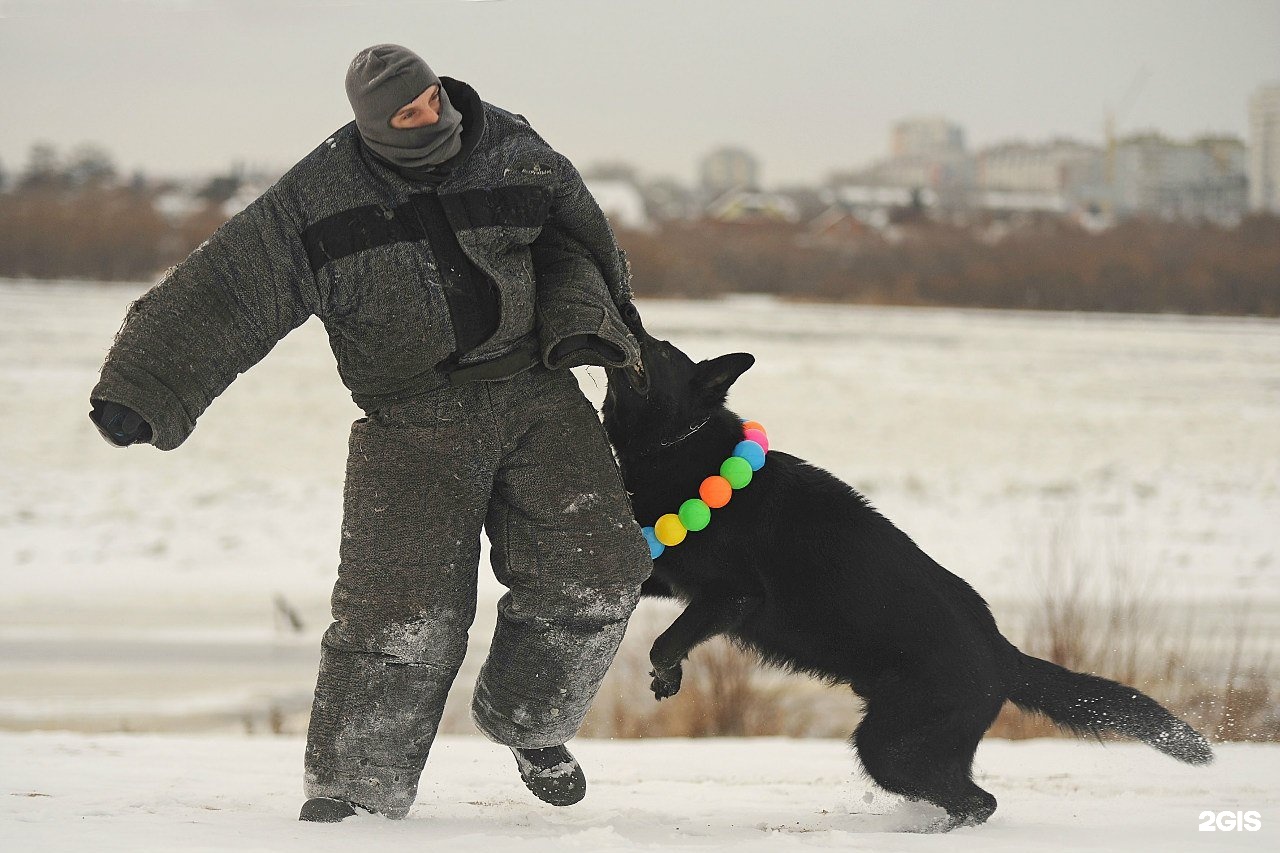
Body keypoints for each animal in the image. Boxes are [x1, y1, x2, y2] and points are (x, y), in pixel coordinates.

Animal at [599, 326, 1208, 829]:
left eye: (656, 350)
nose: (626, 318)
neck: (686, 448)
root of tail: (1004, 654)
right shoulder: (663, 578)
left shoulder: (731, 595)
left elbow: (666, 639)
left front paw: (666, 674)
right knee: (971, 796)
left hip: (887, 746)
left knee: (979, 802)